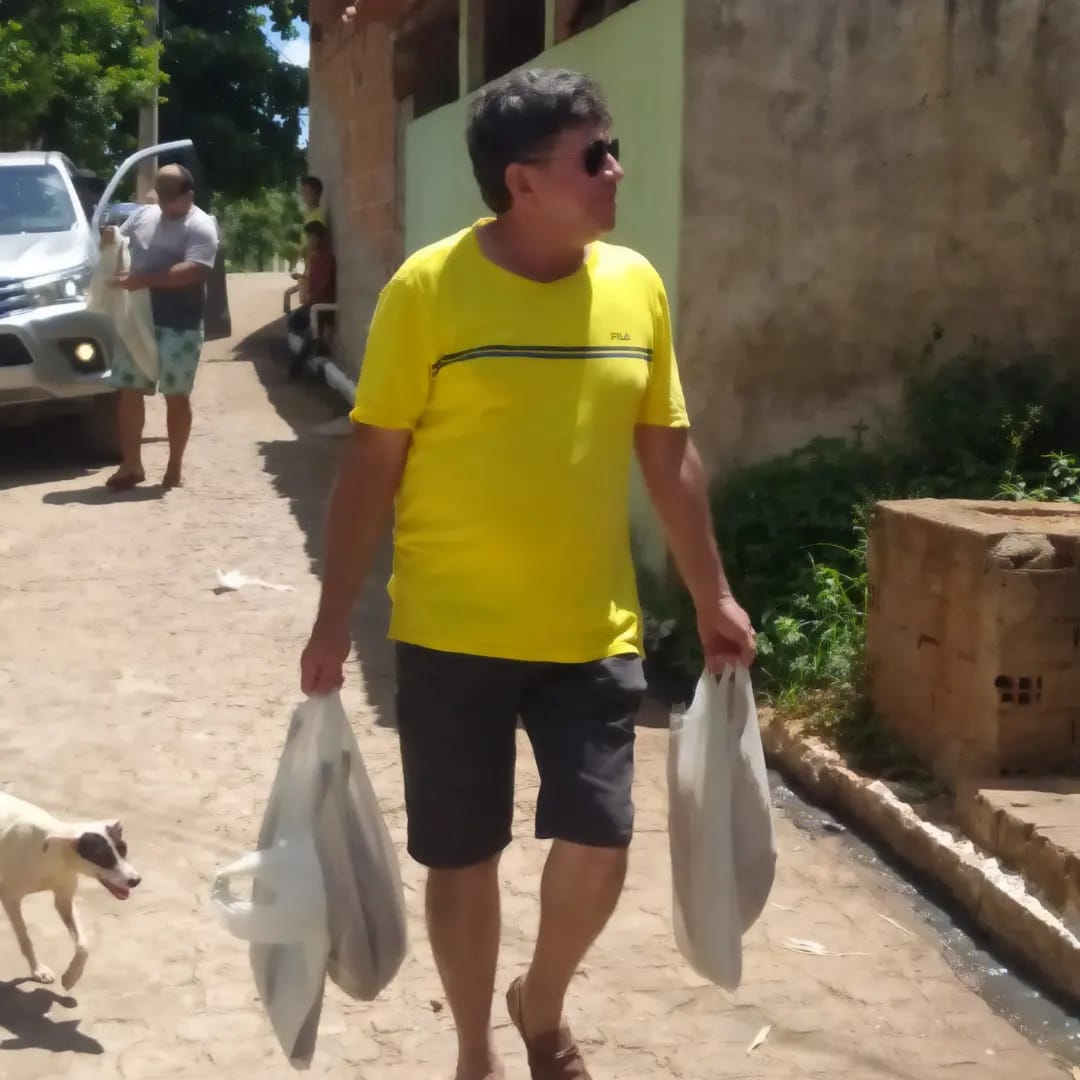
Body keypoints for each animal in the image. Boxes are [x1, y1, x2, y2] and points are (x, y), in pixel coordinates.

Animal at [0, 791, 140, 990]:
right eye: (103, 858)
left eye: (124, 850)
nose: (136, 881)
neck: (54, 855)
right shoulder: (10, 898)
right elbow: (26, 938)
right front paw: (38, 970)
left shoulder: (65, 900)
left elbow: (83, 945)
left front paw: (71, 977)